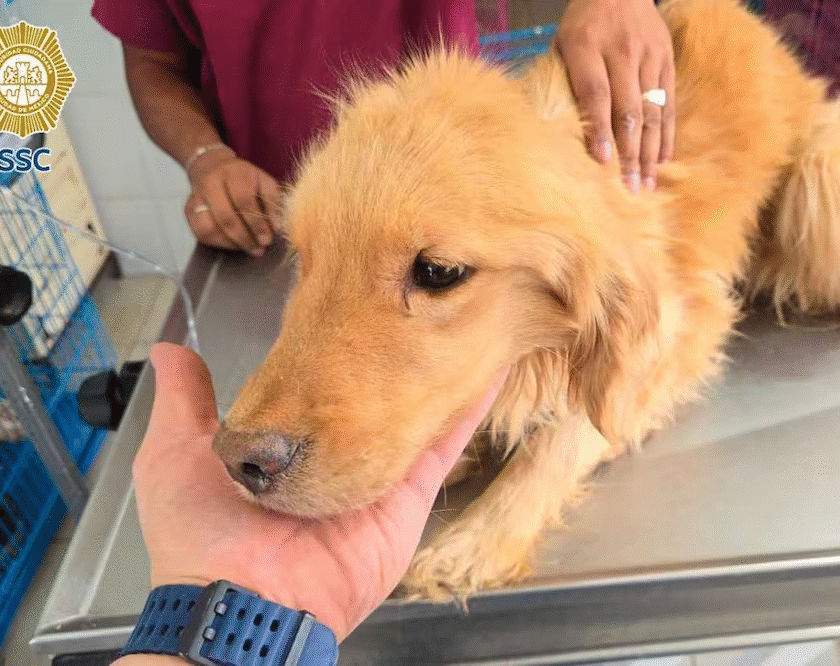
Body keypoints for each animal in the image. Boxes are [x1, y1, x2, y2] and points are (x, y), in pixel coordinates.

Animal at [212, 0, 840, 600]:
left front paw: (475, 540)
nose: (237, 459)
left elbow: (569, 432)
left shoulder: (681, 329)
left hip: (817, 182)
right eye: (304, 257)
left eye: (437, 271)